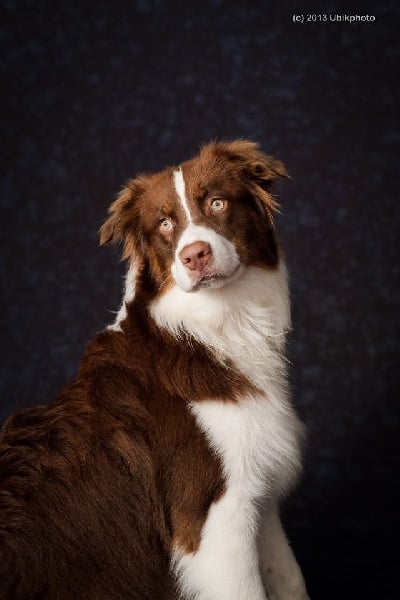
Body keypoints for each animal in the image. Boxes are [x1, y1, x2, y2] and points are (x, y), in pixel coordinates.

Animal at [0, 142, 310, 600]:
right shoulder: (212, 519)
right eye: (165, 224)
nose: (194, 255)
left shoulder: (259, 495)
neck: (209, 332)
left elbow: (290, 579)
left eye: (217, 202)